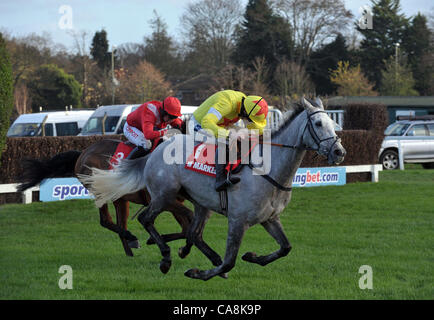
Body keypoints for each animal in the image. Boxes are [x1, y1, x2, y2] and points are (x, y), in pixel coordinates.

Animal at [17, 139, 193, 258]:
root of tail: (82, 153)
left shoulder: (175, 201)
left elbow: (185, 228)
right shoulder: (163, 201)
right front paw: (154, 241)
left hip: (120, 198)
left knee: (119, 224)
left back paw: (130, 251)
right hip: (99, 190)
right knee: (106, 220)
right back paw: (132, 239)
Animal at [80, 97, 346, 280]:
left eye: (333, 123)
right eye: (318, 123)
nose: (339, 152)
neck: (267, 171)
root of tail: (156, 149)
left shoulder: (270, 218)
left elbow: (285, 247)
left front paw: (252, 257)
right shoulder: (238, 220)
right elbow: (230, 261)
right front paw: (199, 272)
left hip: (200, 203)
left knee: (193, 233)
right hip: (164, 196)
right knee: (146, 219)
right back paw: (164, 256)